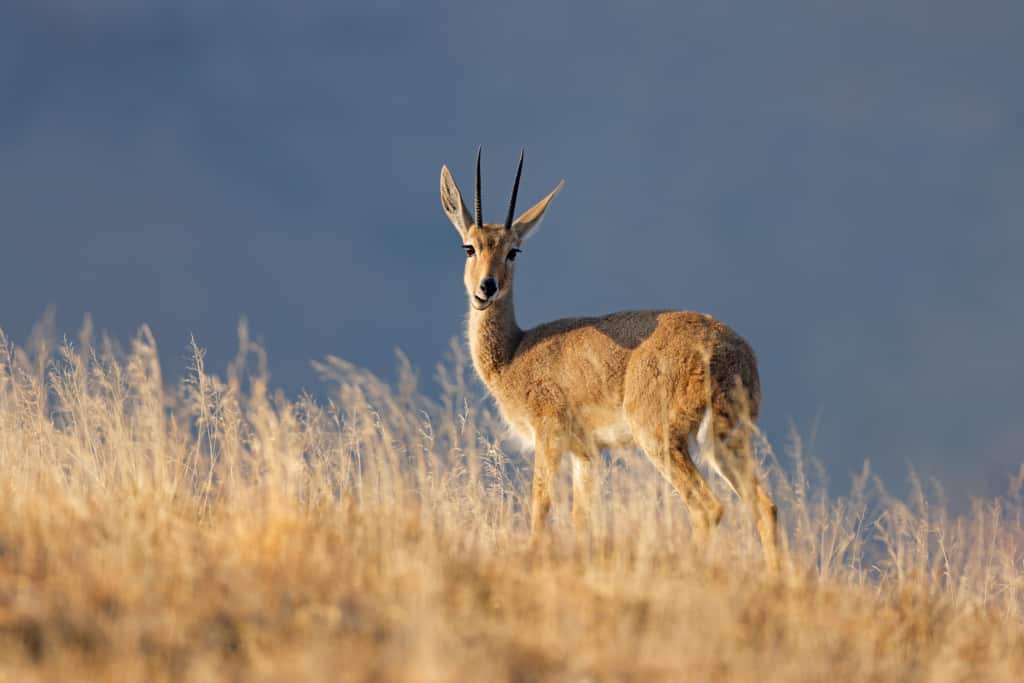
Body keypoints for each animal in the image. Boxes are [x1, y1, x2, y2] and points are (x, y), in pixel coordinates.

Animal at [436, 149, 778, 573]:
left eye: (513, 250)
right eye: (469, 247)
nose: (487, 287)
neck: (515, 352)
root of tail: (728, 350)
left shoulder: (549, 434)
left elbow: (541, 506)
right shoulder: (587, 452)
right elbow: (581, 517)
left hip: (663, 440)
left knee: (708, 508)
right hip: (725, 440)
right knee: (765, 507)